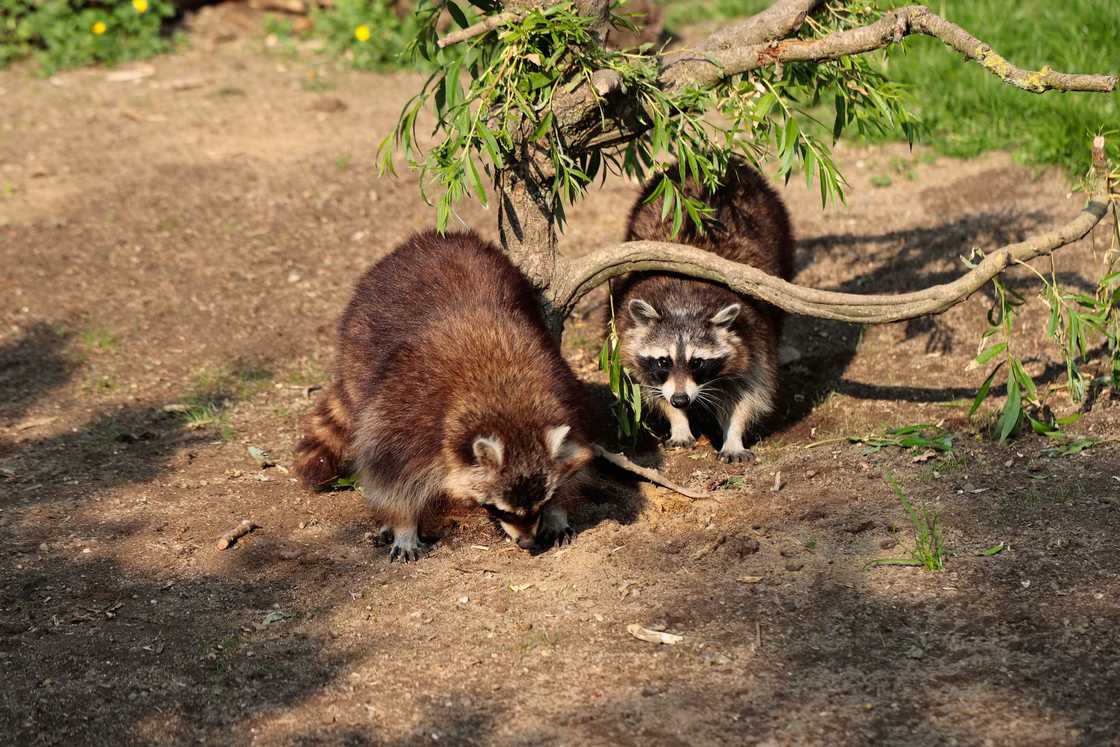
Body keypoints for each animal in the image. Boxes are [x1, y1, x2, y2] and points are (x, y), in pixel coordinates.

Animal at [295, 230, 595, 557]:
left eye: (539, 504)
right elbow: (389, 472)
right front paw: (404, 526)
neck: (504, 393)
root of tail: (434, 237)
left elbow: (575, 456)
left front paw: (557, 510)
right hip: (357, 342)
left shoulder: (560, 385)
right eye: (499, 509)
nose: (527, 542)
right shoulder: (407, 408)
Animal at [618, 156, 792, 461]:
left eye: (697, 362)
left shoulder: (754, 332)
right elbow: (646, 386)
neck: (685, 302)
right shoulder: (626, 332)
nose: (680, 399)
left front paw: (734, 434)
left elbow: (751, 389)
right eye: (663, 361)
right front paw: (677, 420)